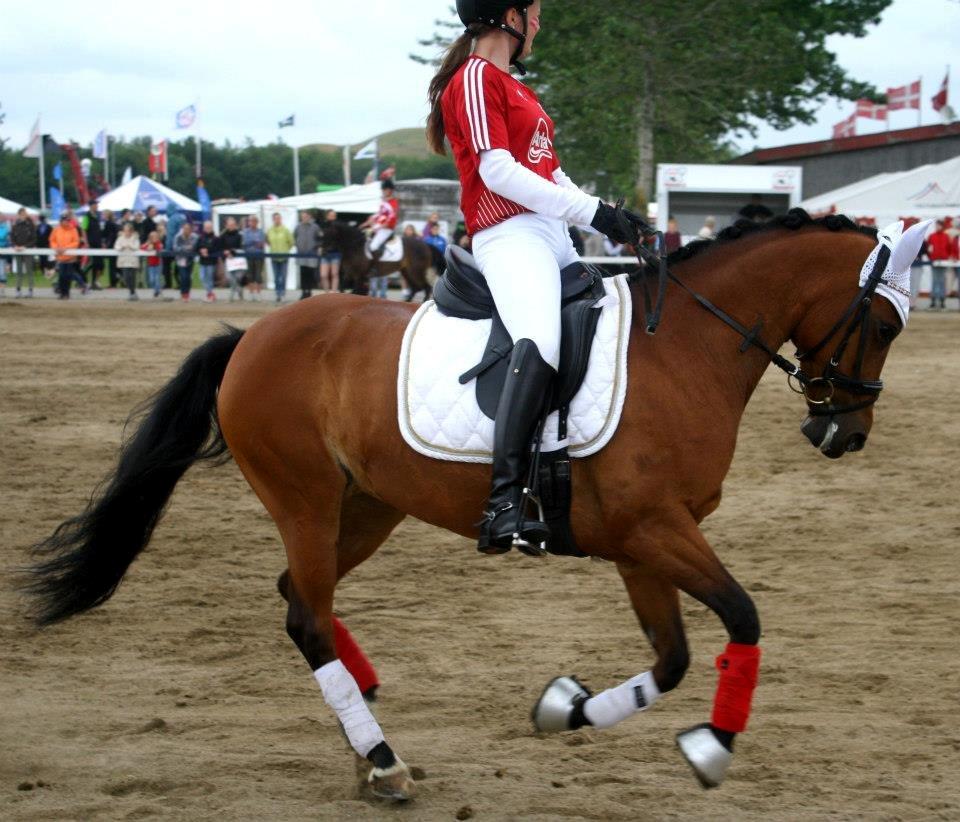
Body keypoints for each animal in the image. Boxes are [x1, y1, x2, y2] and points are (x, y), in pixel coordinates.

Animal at [23, 211, 923, 803]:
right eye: (882, 325)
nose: (844, 433)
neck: (683, 350)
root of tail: (253, 336)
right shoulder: (653, 530)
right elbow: (743, 617)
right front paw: (713, 745)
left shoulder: (644, 543)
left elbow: (670, 659)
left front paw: (565, 709)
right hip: (306, 500)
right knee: (305, 615)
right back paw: (382, 756)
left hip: (368, 506)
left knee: (299, 602)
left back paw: (364, 718)